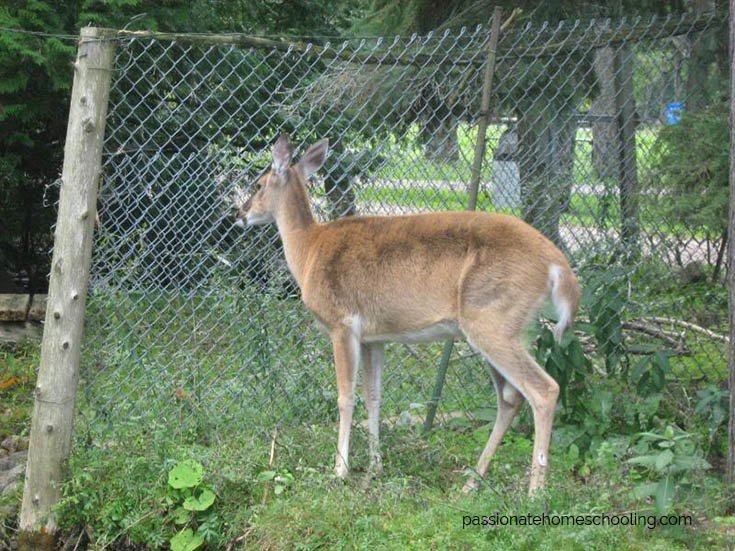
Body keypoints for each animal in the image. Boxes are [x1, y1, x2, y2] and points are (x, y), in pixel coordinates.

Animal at [234, 134, 581, 494]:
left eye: (258, 184)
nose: (239, 214)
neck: (309, 250)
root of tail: (557, 265)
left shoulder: (342, 324)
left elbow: (346, 397)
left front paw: (340, 470)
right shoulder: (375, 338)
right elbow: (373, 397)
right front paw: (375, 467)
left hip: (492, 321)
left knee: (543, 389)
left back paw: (534, 492)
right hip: (505, 328)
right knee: (510, 398)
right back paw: (472, 482)